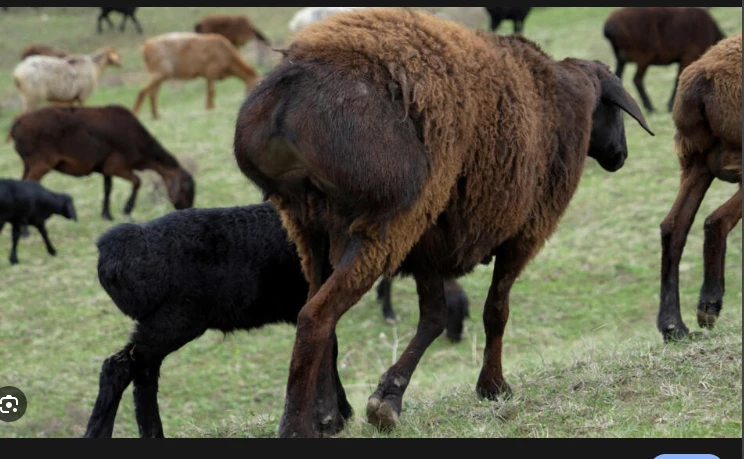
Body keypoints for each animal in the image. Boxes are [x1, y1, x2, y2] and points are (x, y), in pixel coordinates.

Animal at [8, 105, 195, 220]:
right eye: (185, 189)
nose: (186, 210)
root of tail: (17, 124)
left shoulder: (106, 167)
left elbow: (107, 189)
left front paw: (107, 215)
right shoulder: (118, 165)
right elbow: (137, 181)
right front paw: (127, 210)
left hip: (28, 164)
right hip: (40, 163)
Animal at [134, 33, 262, 121]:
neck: (229, 59)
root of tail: (145, 47)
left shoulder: (208, 74)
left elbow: (210, 91)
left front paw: (210, 107)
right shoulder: (211, 70)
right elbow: (211, 91)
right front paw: (210, 108)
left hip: (158, 73)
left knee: (152, 93)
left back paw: (155, 115)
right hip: (161, 71)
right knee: (143, 90)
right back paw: (136, 112)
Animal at [231, 8, 652, 438]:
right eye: (615, 111)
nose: (620, 154)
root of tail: (288, 90)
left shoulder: (430, 245)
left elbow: (435, 316)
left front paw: (389, 397)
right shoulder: (523, 233)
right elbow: (495, 310)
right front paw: (491, 386)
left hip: (309, 226)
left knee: (320, 311)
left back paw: (326, 415)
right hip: (385, 222)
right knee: (316, 316)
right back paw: (297, 425)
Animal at [656, 33, 740, 342]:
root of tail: (702, 81)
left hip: (695, 159)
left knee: (674, 226)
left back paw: (673, 326)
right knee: (717, 219)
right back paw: (709, 306)